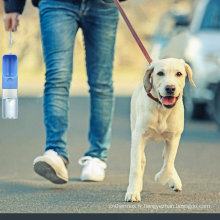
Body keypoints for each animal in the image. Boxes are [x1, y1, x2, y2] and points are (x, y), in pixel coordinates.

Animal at [125, 57, 196, 202]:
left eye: (179, 74)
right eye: (160, 73)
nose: (170, 88)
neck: (162, 109)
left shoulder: (174, 137)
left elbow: (169, 162)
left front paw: (162, 178)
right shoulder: (139, 136)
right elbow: (136, 167)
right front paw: (133, 192)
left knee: (167, 157)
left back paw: (174, 180)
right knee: (142, 160)